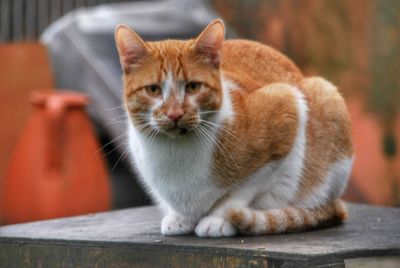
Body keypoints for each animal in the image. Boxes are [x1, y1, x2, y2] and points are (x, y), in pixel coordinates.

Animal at [115, 19, 354, 237]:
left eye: (193, 87)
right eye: (153, 90)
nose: (175, 114)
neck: (175, 152)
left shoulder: (288, 107)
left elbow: (240, 193)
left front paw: (218, 219)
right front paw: (180, 217)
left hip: (325, 94)